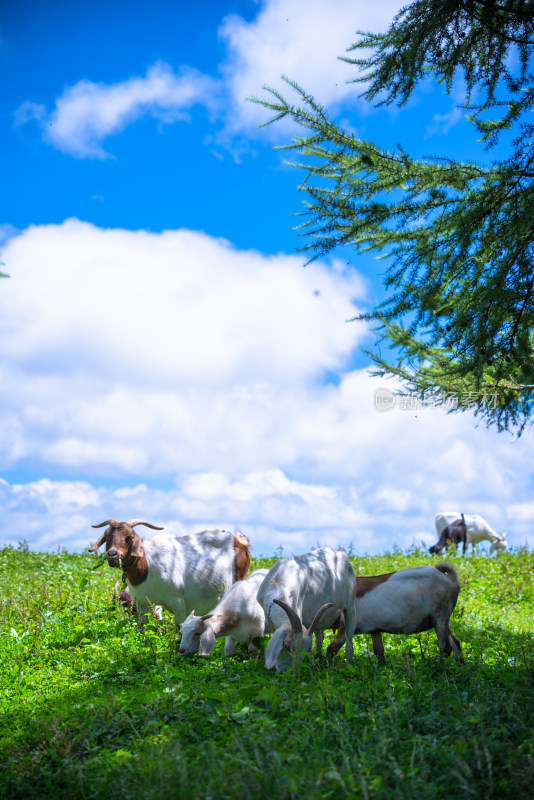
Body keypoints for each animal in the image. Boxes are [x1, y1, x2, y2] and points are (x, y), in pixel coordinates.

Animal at [89, 520, 252, 628]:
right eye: (107, 537)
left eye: (129, 537)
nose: (112, 555)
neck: (147, 567)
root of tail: (239, 542)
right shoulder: (141, 604)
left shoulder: (178, 602)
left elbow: (179, 627)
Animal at [326, 560, 464, 664]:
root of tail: (449, 579)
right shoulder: (374, 630)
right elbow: (379, 653)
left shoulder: (345, 625)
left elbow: (331, 648)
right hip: (441, 619)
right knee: (456, 643)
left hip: (440, 614)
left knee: (446, 647)